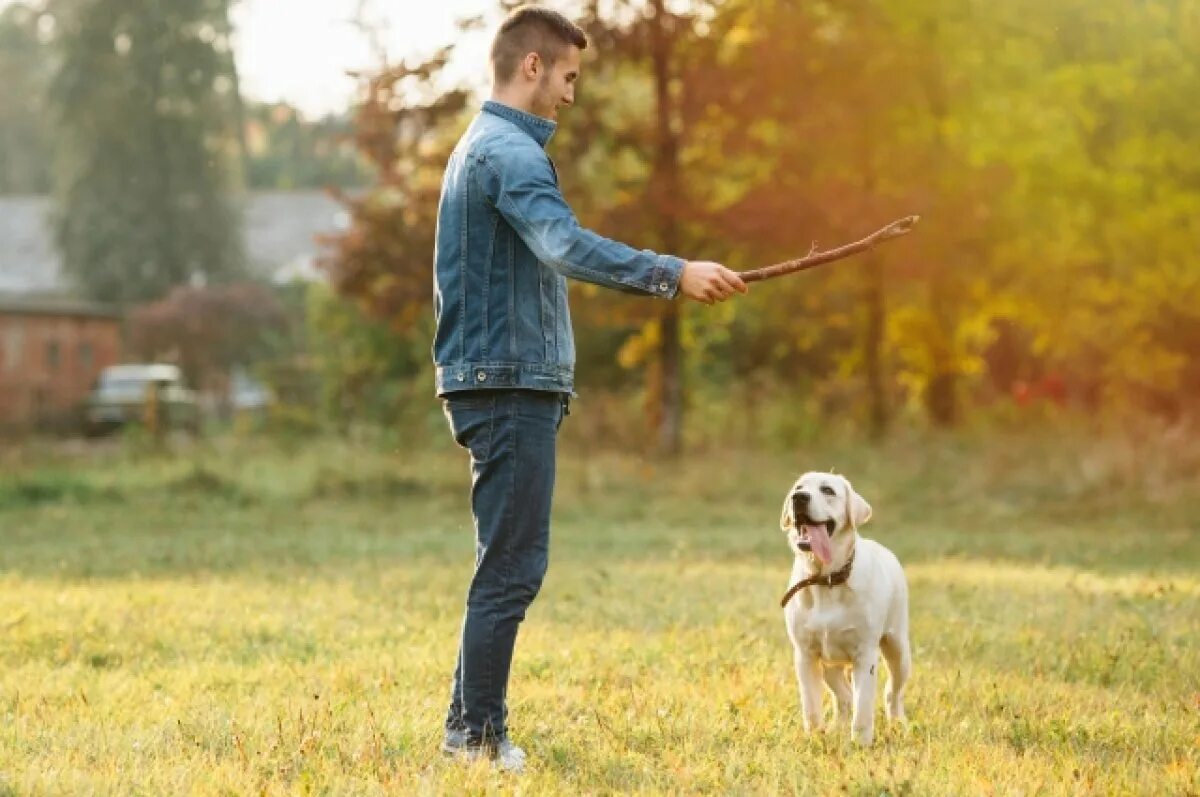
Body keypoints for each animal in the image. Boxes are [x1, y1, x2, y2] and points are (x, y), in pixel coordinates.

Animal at [777, 470, 907, 744]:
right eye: (798, 487)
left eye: (827, 490)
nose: (799, 498)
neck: (826, 579)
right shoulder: (805, 655)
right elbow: (811, 706)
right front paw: (815, 738)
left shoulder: (865, 654)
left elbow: (864, 707)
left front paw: (861, 743)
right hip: (830, 665)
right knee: (845, 696)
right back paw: (837, 728)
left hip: (898, 648)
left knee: (892, 693)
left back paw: (898, 724)